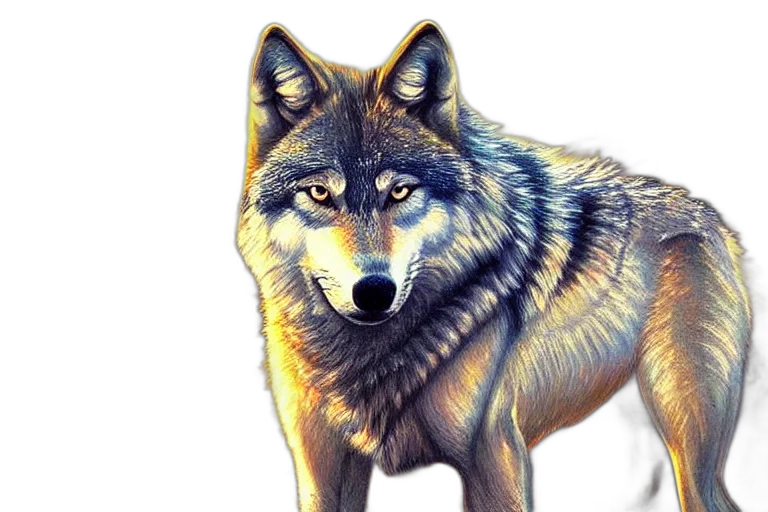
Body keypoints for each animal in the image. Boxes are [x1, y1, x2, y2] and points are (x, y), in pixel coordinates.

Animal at [236, 20, 752, 511]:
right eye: (319, 193)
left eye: (400, 191)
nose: (374, 291)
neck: (363, 360)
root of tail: (704, 215)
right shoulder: (321, 472)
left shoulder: (494, 460)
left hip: (687, 442)